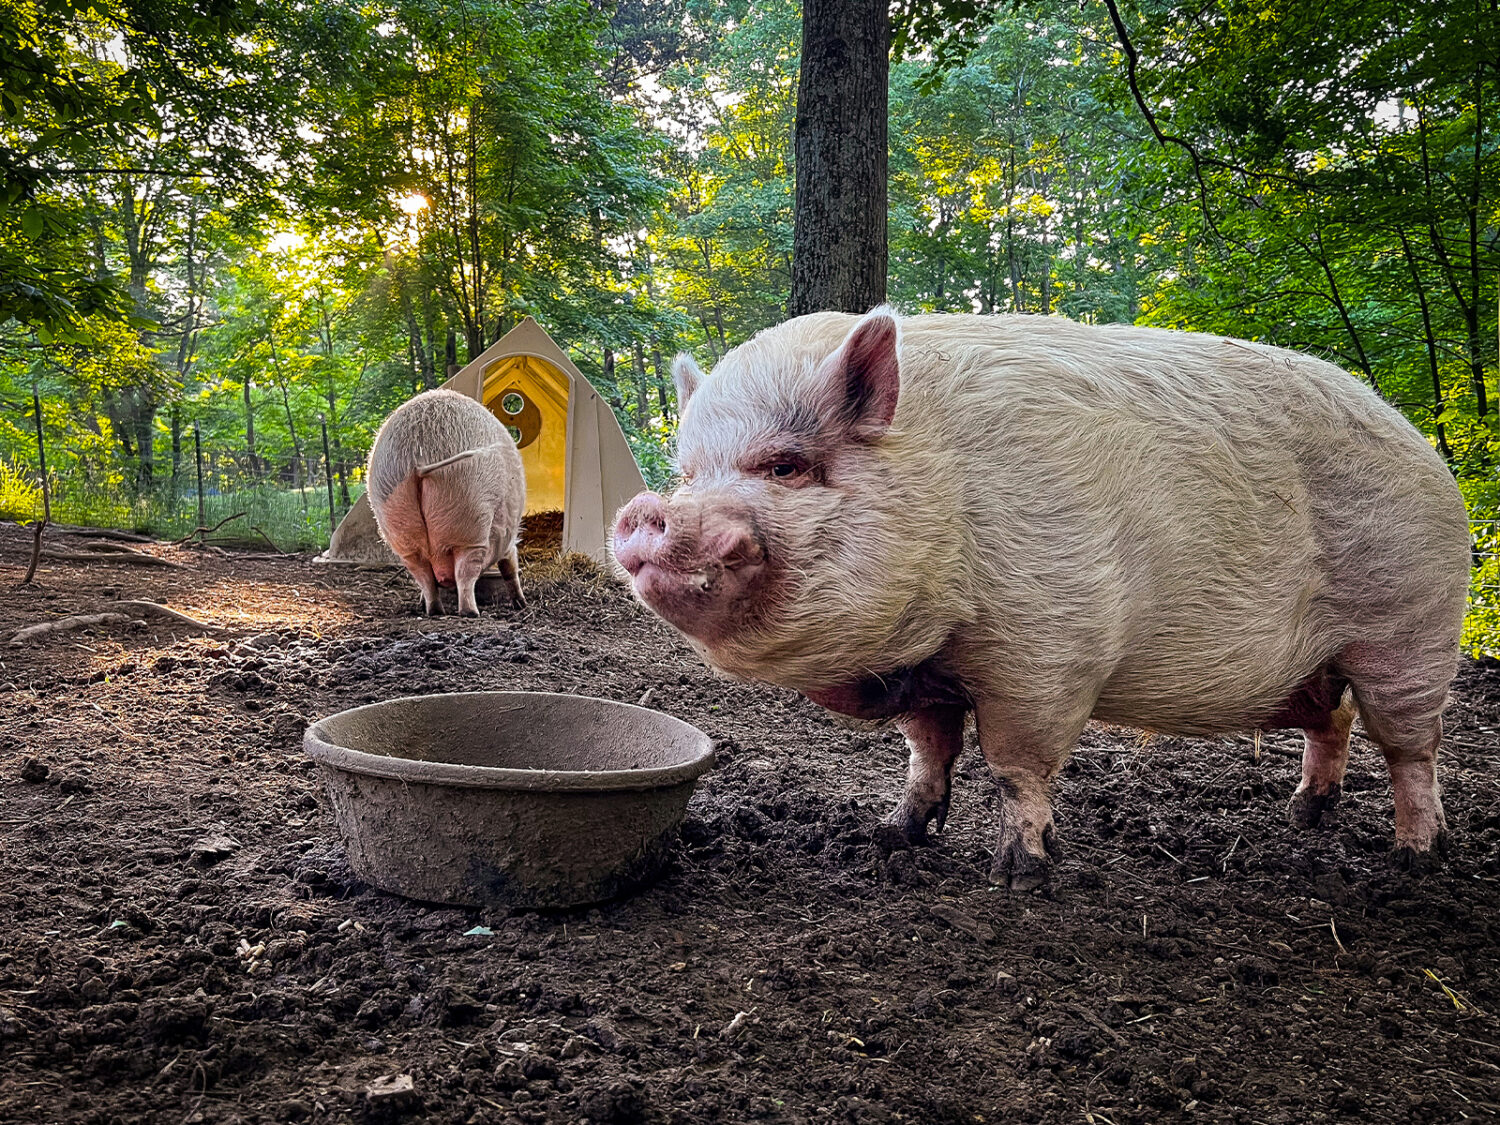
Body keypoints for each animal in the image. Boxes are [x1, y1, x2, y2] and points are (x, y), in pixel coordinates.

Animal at [364, 387, 525, 618]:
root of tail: (418, 459)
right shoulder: (509, 542)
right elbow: (510, 568)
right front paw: (522, 603)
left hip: (398, 525)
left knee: (424, 577)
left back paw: (434, 610)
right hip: (470, 517)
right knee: (465, 573)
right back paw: (471, 612)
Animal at [615, 306, 1470, 888]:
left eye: (786, 466)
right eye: (689, 473)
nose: (646, 510)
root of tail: (1423, 446)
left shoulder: (1047, 648)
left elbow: (1013, 765)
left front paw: (1019, 873)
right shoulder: (927, 672)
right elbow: (928, 752)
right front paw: (892, 835)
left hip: (1411, 628)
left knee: (1412, 748)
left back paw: (1414, 856)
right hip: (1321, 667)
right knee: (1335, 720)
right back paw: (1302, 814)